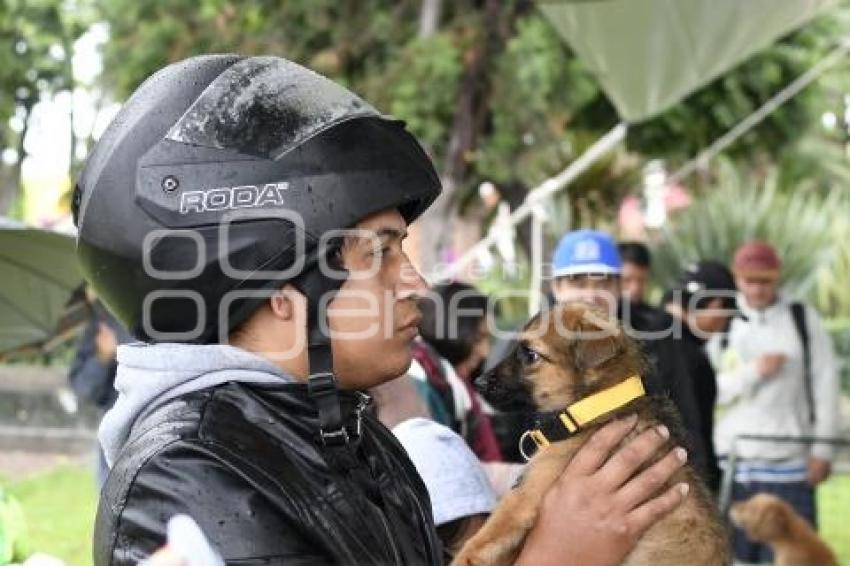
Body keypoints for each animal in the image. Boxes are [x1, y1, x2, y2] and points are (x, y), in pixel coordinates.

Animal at [454, 304, 724, 566]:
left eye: (530, 355)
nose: (478, 382)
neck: (592, 407)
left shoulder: (525, 495)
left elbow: (487, 534)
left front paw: (463, 558)